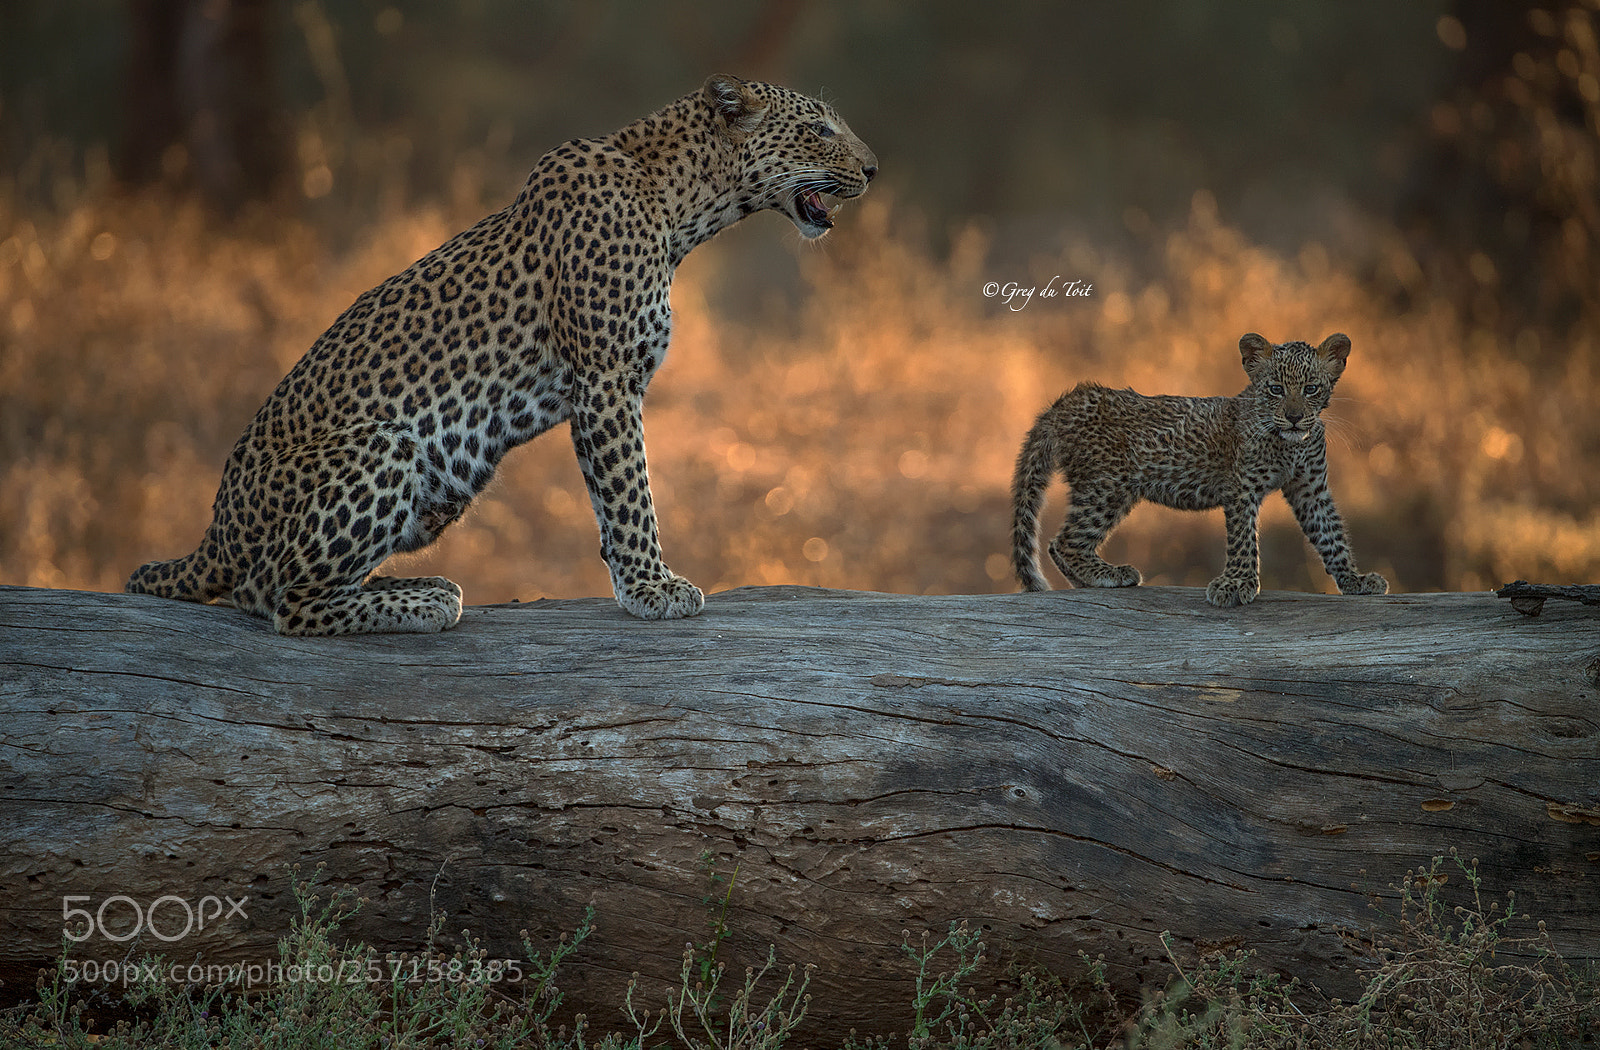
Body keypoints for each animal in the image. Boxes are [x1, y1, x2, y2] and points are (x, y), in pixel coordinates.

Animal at [126, 74, 877, 635]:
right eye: (820, 129)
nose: (873, 168)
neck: (683, 209)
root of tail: (215, 533)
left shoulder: (603, 388)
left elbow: (610, 495)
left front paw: (635, 582)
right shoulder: (606, 380)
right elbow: (631, 492)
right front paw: (653, 587)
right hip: (383, 444)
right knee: (279, 598)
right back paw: (425, 600)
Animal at [1010, 332, 1388, 607]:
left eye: (1311, 388)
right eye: (1275, 389)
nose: (1294, 417)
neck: (1290, 444)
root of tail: (1064, 403)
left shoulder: (1310, 489)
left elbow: (1331, 534)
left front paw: (1354, 579)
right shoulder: (1242, 487)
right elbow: (1243, 539)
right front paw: (1237, 584)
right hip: (1108, 484)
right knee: (1064, 542)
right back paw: (1110, 574)